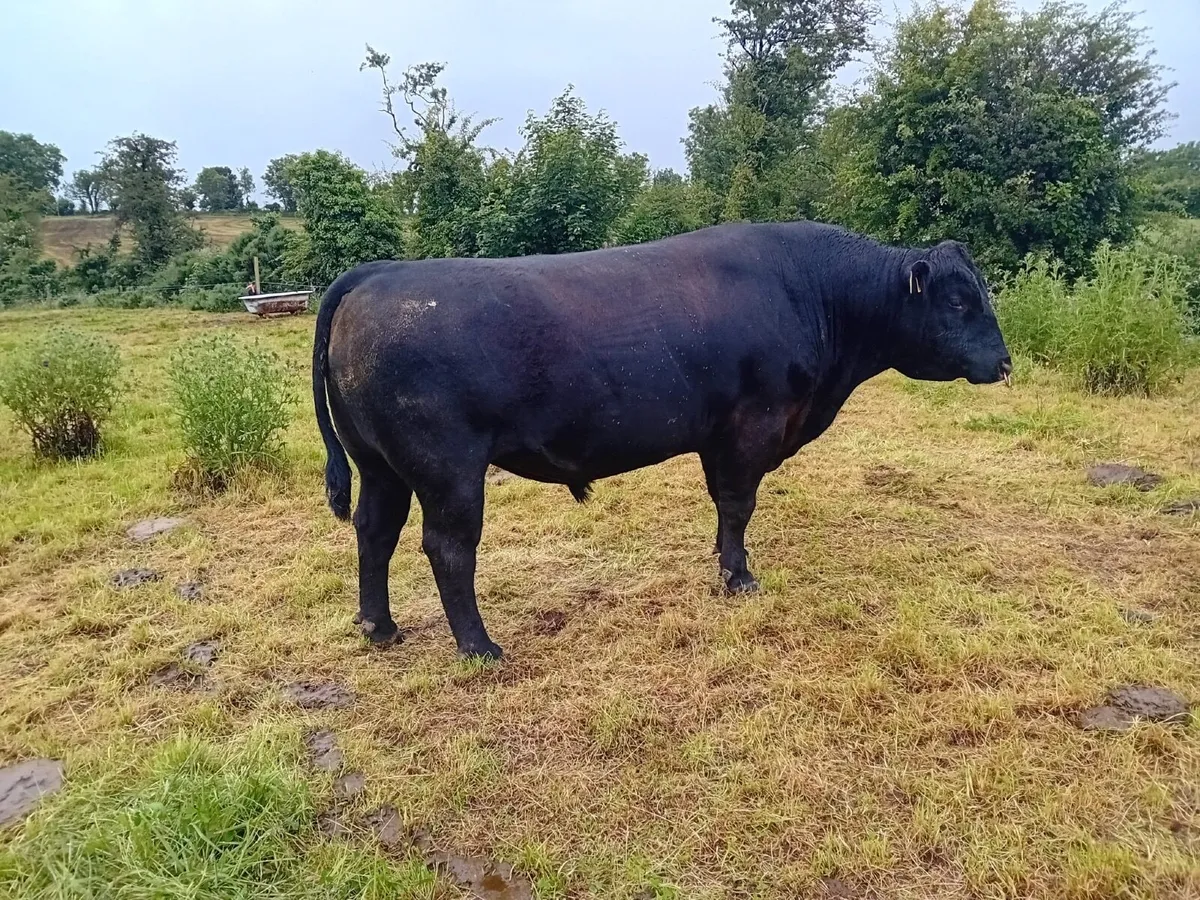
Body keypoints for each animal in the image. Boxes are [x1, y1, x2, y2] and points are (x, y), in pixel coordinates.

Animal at [312, 221, 1011, 660]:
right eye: (957, 302)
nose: (1004, 363)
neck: (814, 293)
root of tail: (374, 276)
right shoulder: (752, 425)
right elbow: (739, 504)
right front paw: (738, 578)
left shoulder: (719, 435)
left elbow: (724, 505)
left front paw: (723, 563)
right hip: (448, 470)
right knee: (448, 548)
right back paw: (479, 648)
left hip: (379, 465)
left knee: (375, 531)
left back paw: (379, 627)